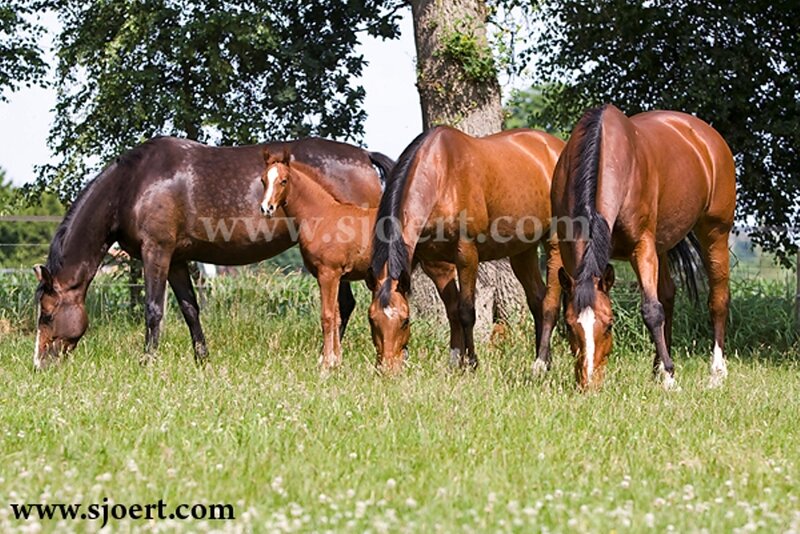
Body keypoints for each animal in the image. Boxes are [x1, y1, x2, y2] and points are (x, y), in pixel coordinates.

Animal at [33, 136, 394, 369]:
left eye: (47, 314)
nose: (40, 364)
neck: (133, 184)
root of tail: (364, 155)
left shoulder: (156, 253)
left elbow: (154, 309)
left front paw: (147, 362)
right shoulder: (177, 260)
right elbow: (190, 309)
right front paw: (202, 360)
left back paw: (329, 357)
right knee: (345, 305)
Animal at [258, 147, 460, 371]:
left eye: (283, 181)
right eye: (263, 180)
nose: (266, 208)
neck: (321, 215)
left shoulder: (328, 274)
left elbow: (327, 316)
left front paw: (326, 363)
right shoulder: (338, 277)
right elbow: (337, 316)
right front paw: (336, 360)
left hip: (440, 269)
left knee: (454, 308)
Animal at [367, 126, 565, 374]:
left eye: (405, 320)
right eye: (371, 320)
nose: (387, 370)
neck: (441, 177)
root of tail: (557, 147)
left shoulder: (466, 254)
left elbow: (466, 311)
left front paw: (471, 362)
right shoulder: (436, 264)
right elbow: (452, 310)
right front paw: (455, 361)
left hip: (554, 242)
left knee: (549, 303)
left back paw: (540, 363)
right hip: (523, 251)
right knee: (536, 299)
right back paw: (545, 360)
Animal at [551, 104, 736, 390]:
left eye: (609, 325)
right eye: (570, 326)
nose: (589, 383)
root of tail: (707, 136)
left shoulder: (642, 246)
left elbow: (651, 310)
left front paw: (670, 379)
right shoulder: (570, 248)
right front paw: (665, 370)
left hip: (715, 233)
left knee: (717, 300)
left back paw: (716, 373)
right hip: (662, 244)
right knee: (668, 295)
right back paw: (658, 367)